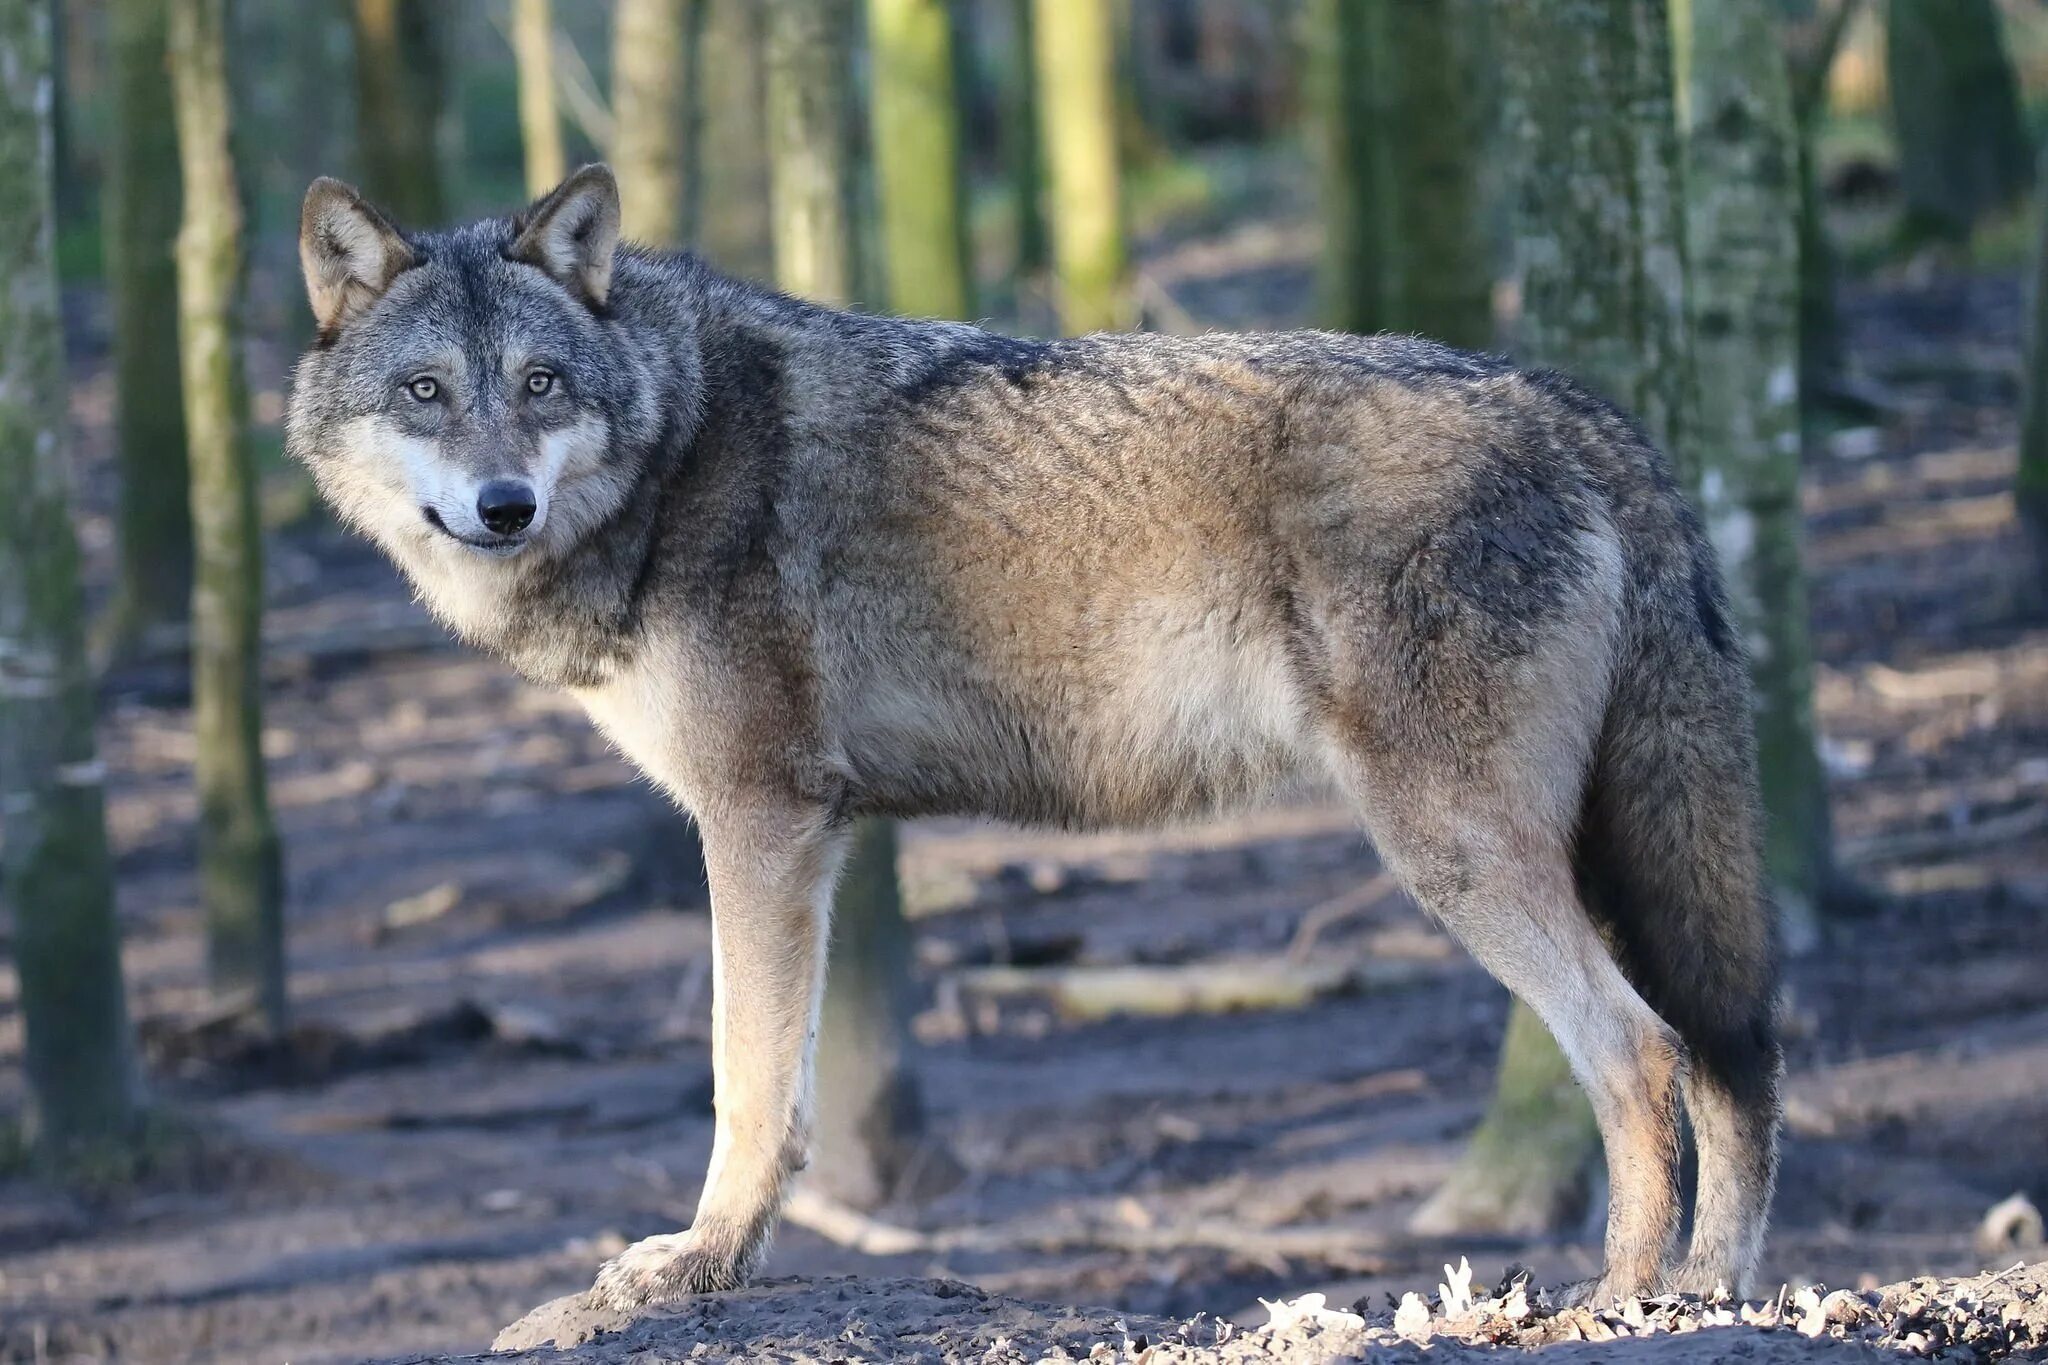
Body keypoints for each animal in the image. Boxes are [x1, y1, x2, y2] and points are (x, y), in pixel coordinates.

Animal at [288, 165, 1777, 1317]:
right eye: (425, 392)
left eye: (540, 383)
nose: (503, 505)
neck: (679, 442)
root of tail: (1573, 403)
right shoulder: (805, 834)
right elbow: (776, 1087)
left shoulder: (760, 820)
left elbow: (744, 1084)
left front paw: (701, 1264)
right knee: (1727, 1057)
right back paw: (1706, 1291)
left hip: (1457, 854)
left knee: (1643, 1052)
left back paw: (1619, 1297)